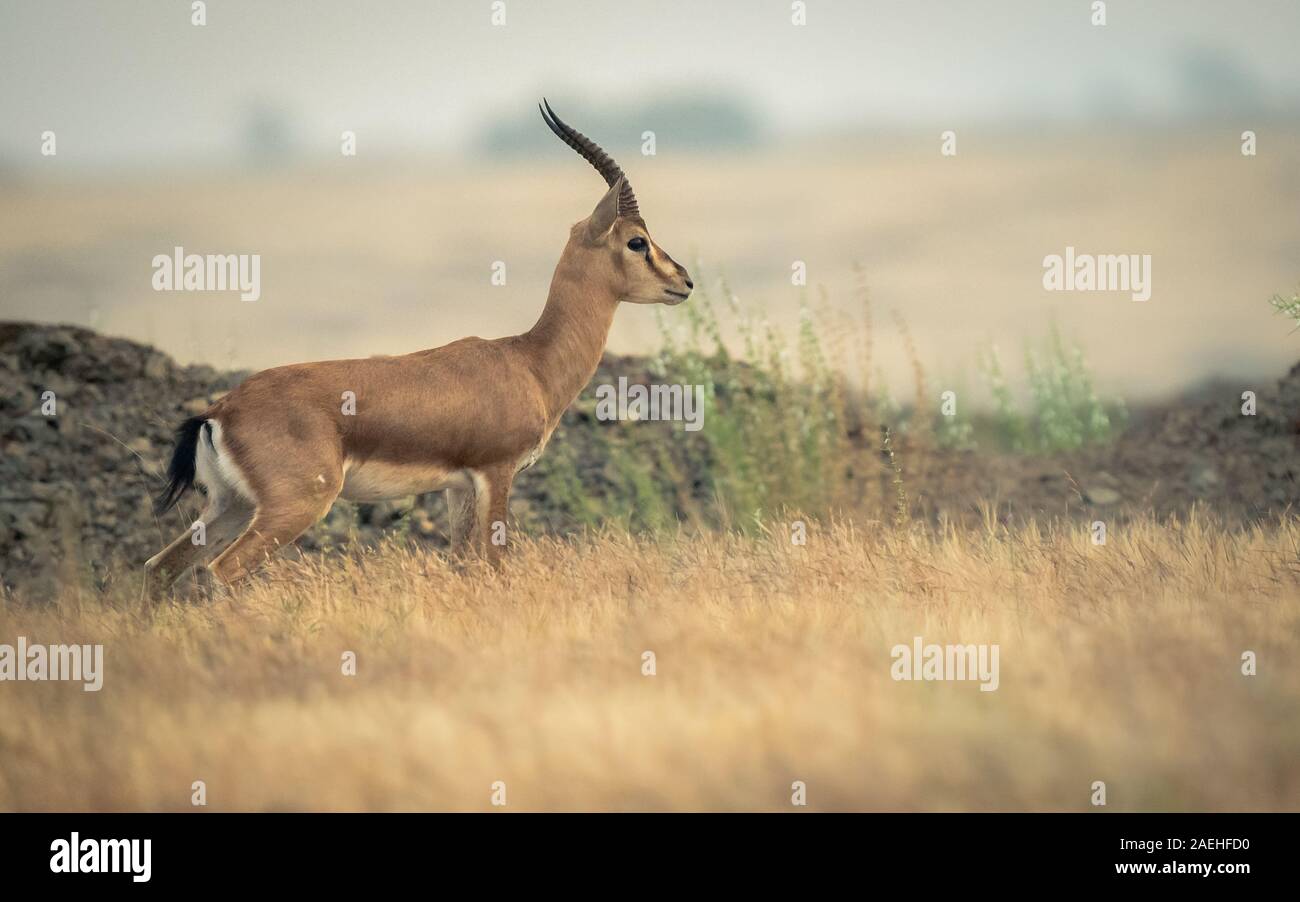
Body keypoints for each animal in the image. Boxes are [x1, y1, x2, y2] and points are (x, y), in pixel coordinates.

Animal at [145, 100, 693, 591]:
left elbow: (464, 564)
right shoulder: (496, 473)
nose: (684, 282)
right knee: (219, 572)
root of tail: (219, 411)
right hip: (293, 506)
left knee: (159, 567)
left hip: (231, 505)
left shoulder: (458, 487)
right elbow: (495, 565)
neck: (528, 362)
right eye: (637, 241)